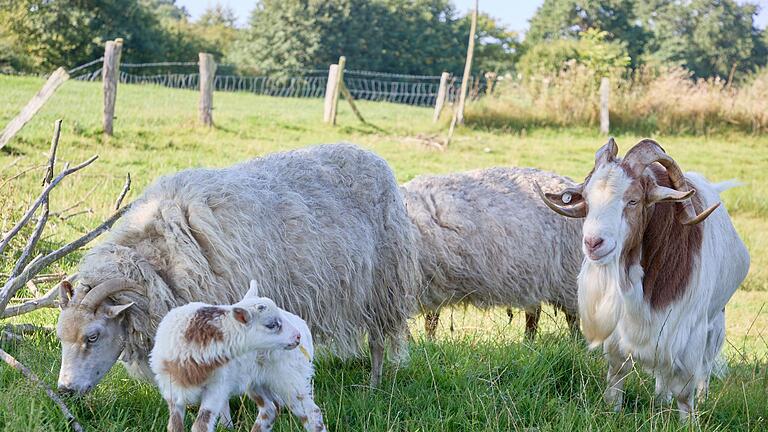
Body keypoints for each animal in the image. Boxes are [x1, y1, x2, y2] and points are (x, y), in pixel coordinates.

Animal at [57, 143, 424, 396]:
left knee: (378, 341)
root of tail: (373, 156)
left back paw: (373, 386)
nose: (65, 391)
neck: (160, 261)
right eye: (61, 336)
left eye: (93, 336)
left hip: (383, 285)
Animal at [152, 280, 326, 432]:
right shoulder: (171, 391)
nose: (297, 336)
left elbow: (200, 426)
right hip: (257, 381)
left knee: (312, 413)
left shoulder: (217, 388)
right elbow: (174, 427)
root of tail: (303, 326)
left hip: (288, 377)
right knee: (270, 409)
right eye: (271, 325)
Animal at [402, 167, 584, 340]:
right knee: (534, 313)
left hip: (567, 273)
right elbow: (429, 322)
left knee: (572, 316)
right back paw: (527, 344)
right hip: (534, 277)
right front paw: (426, 343)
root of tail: (568, 182)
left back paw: (576, 343)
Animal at [536, 138, 752, 418]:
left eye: (633, 201)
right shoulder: (622, 328)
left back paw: (701, 399)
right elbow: (618, 371)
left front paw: (688, 421)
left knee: (704, 365)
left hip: (715, 320)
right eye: (587, 199)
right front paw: (613, 411)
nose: (593, 243)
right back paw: (660, 401)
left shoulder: (687, 329)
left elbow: (685, 391)